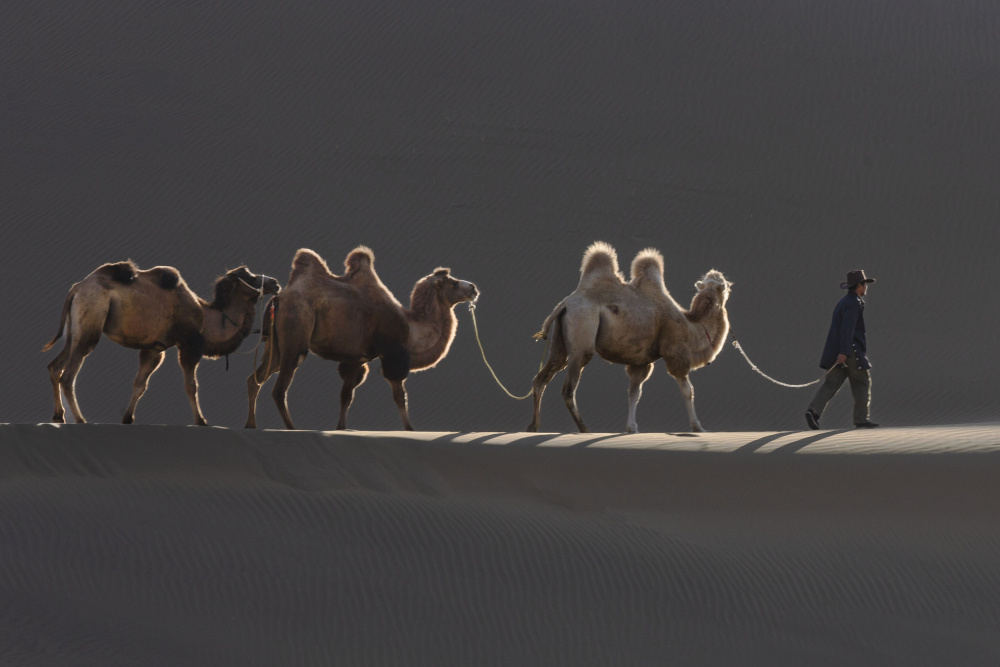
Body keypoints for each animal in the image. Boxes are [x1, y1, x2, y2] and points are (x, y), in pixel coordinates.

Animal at [43, 261, 280, 425]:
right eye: (249, 276)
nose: (275, 283)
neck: (207, 317)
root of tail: (76, 288)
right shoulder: (189, 344)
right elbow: (191, 385)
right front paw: (201, 421)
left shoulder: (155, 349)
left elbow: (140, 384)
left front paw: (128, 418)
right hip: (92, 317)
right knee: (69, 375)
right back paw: (81, 420)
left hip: (74, 330)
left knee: (55, 365)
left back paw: (58, 416)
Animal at [244, 247, 478, 430]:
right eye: (453, 283)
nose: (474, 288)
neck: (411, 329)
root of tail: (278, 298)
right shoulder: (392, 355)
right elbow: (400, 396)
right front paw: (410, 429)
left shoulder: (356, 359)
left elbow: (346, 396)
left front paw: (341, 428)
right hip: (296, 333)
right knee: (279, 389)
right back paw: (292, 428)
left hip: (275, 344)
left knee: (256, 378)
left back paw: (251, 424)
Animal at [527, 241, 732, 433]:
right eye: (726, 286)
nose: (730, 286)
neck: (691, 326)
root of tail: (565, 304)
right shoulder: (675, 351)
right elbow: (688, 391)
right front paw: (698, 427)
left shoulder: (640, 362)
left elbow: (634, 392)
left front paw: (631, 428)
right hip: (582, 334)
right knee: (568, 388)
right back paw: (584, 429)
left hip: (559, 341)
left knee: (542, 377)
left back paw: (533, 426)